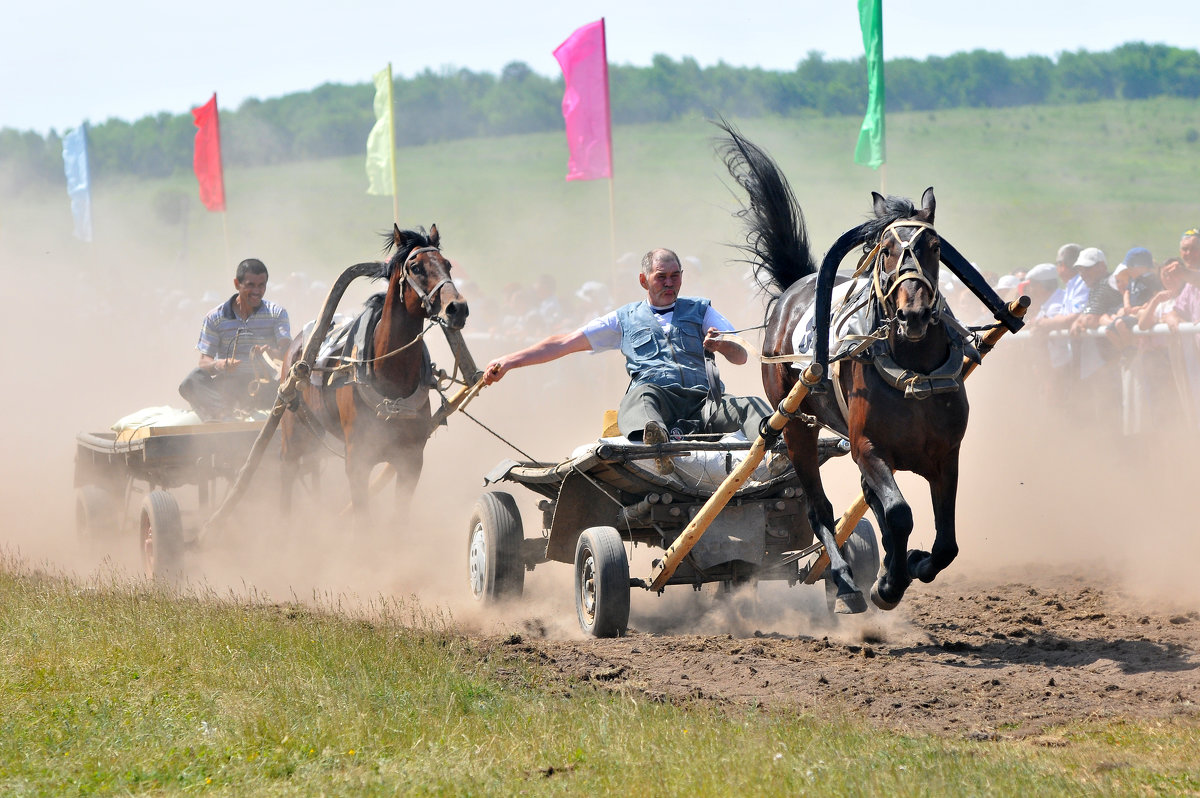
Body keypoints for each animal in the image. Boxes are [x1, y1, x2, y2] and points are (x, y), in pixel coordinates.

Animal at [280, 224, 468, 523]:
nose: (457, 308)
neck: (392, 379)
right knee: (286, 475)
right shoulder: (357, 462)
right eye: (416, 267)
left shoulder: (411, 461)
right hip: (292, 433)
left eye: (447, 264)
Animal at [720, 123, 1012, 609]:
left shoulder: (945, 454)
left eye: (934, 246)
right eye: (887, 248)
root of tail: (795, 287)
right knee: (819, 508)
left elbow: (946, 542)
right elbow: (898, 513)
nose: (913, 313)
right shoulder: (869, 446)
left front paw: (911, 564)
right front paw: (888, 584)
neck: (914, 375)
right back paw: (844, 580)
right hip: (796, 423)